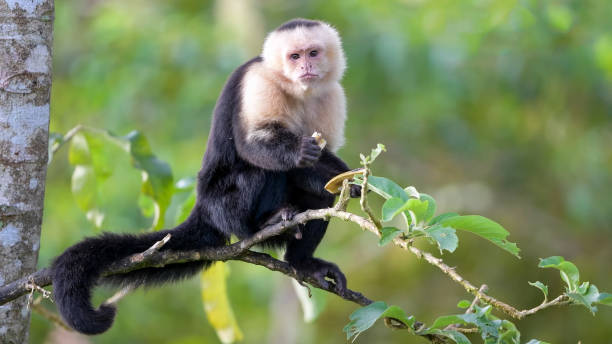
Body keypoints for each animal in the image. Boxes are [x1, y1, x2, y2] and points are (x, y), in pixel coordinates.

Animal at [53, 17, 358, 334]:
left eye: (313, 53)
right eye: (294, 56)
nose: (305, 66)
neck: (297, 91)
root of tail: (204, 208)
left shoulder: (332, 94)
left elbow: (324, 164)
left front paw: (352, 180)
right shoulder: (259, 81)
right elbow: (254, 144)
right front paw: (300, 152)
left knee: (318, 196)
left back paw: (302, 262)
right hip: (223, 206)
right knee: (260, 171)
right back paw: (265, 222)